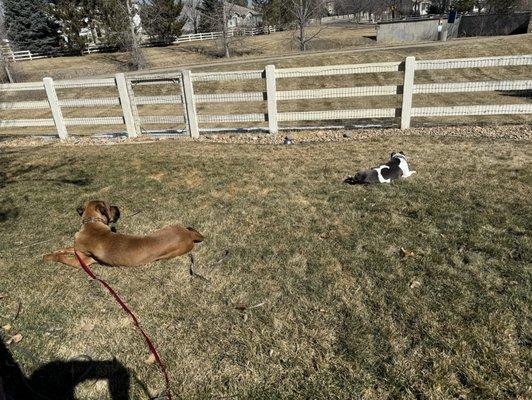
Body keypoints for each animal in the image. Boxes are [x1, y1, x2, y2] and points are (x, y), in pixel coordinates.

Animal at [41, 200, 203, 268]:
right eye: (110, 207)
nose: (118, 208)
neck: (91, 223)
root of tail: (189, 235)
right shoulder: (78, 252)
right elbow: (67, 249)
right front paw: (56, 251)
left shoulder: (83, 261)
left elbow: (63, 257)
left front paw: (49, 256)